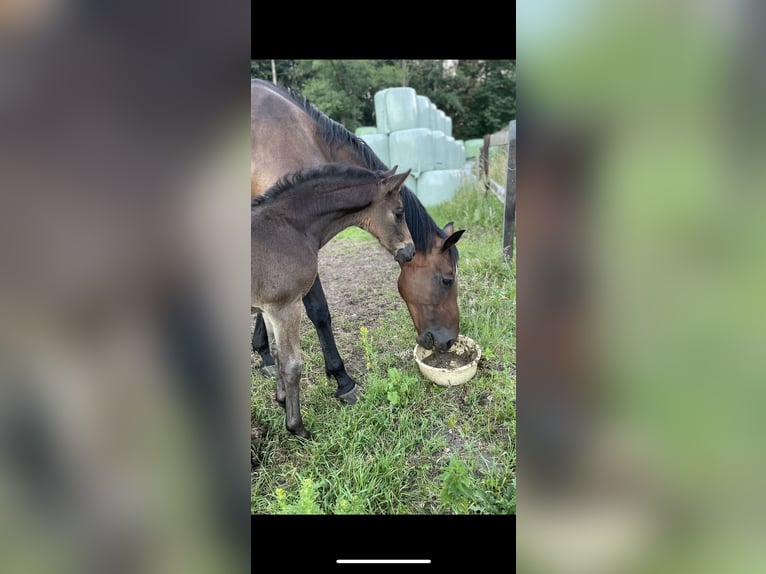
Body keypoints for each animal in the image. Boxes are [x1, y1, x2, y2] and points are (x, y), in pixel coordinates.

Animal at [251, 78, 465, 403]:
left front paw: (262, 353)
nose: (450, 341)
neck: (294, 137)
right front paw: (342, 379)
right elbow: (320, 312)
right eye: (446, 280)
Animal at [252, 163, 415, 438]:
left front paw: (281, 399)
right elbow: (292, 364)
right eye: (399, 212)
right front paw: (297, 428)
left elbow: (276, 353)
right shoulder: (285, 306)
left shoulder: (269, 308)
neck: (288, 227)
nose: (410, 251)